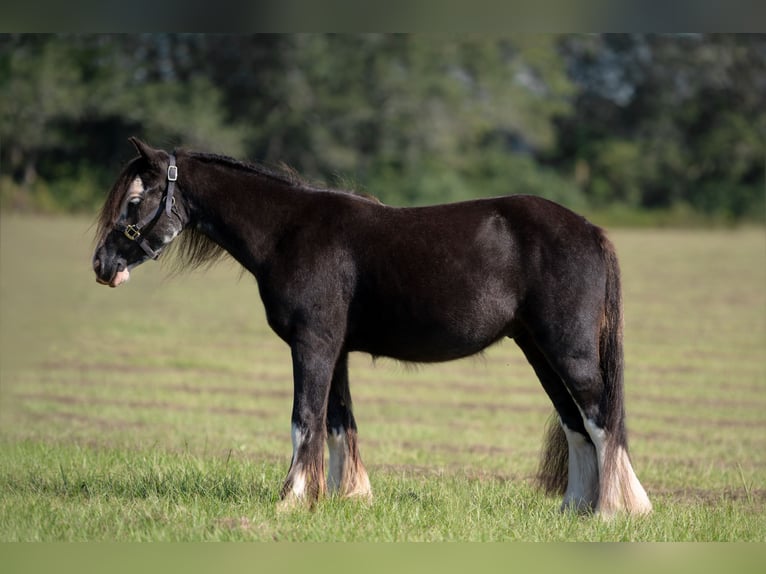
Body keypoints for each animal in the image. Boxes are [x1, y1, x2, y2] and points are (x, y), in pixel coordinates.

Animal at [93, 140, 652, 516]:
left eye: (136, 201)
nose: (102, 265)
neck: (288, 232)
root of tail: (591, 230)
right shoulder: (335, 350)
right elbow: (339, 421)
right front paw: (348, 496)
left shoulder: (312, 345)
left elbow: (304, 418)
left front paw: (291, 499)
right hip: (539, 351)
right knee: (576, 423)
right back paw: (576, 509)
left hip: (569, 352)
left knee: (602, 417)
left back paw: (615, 510)